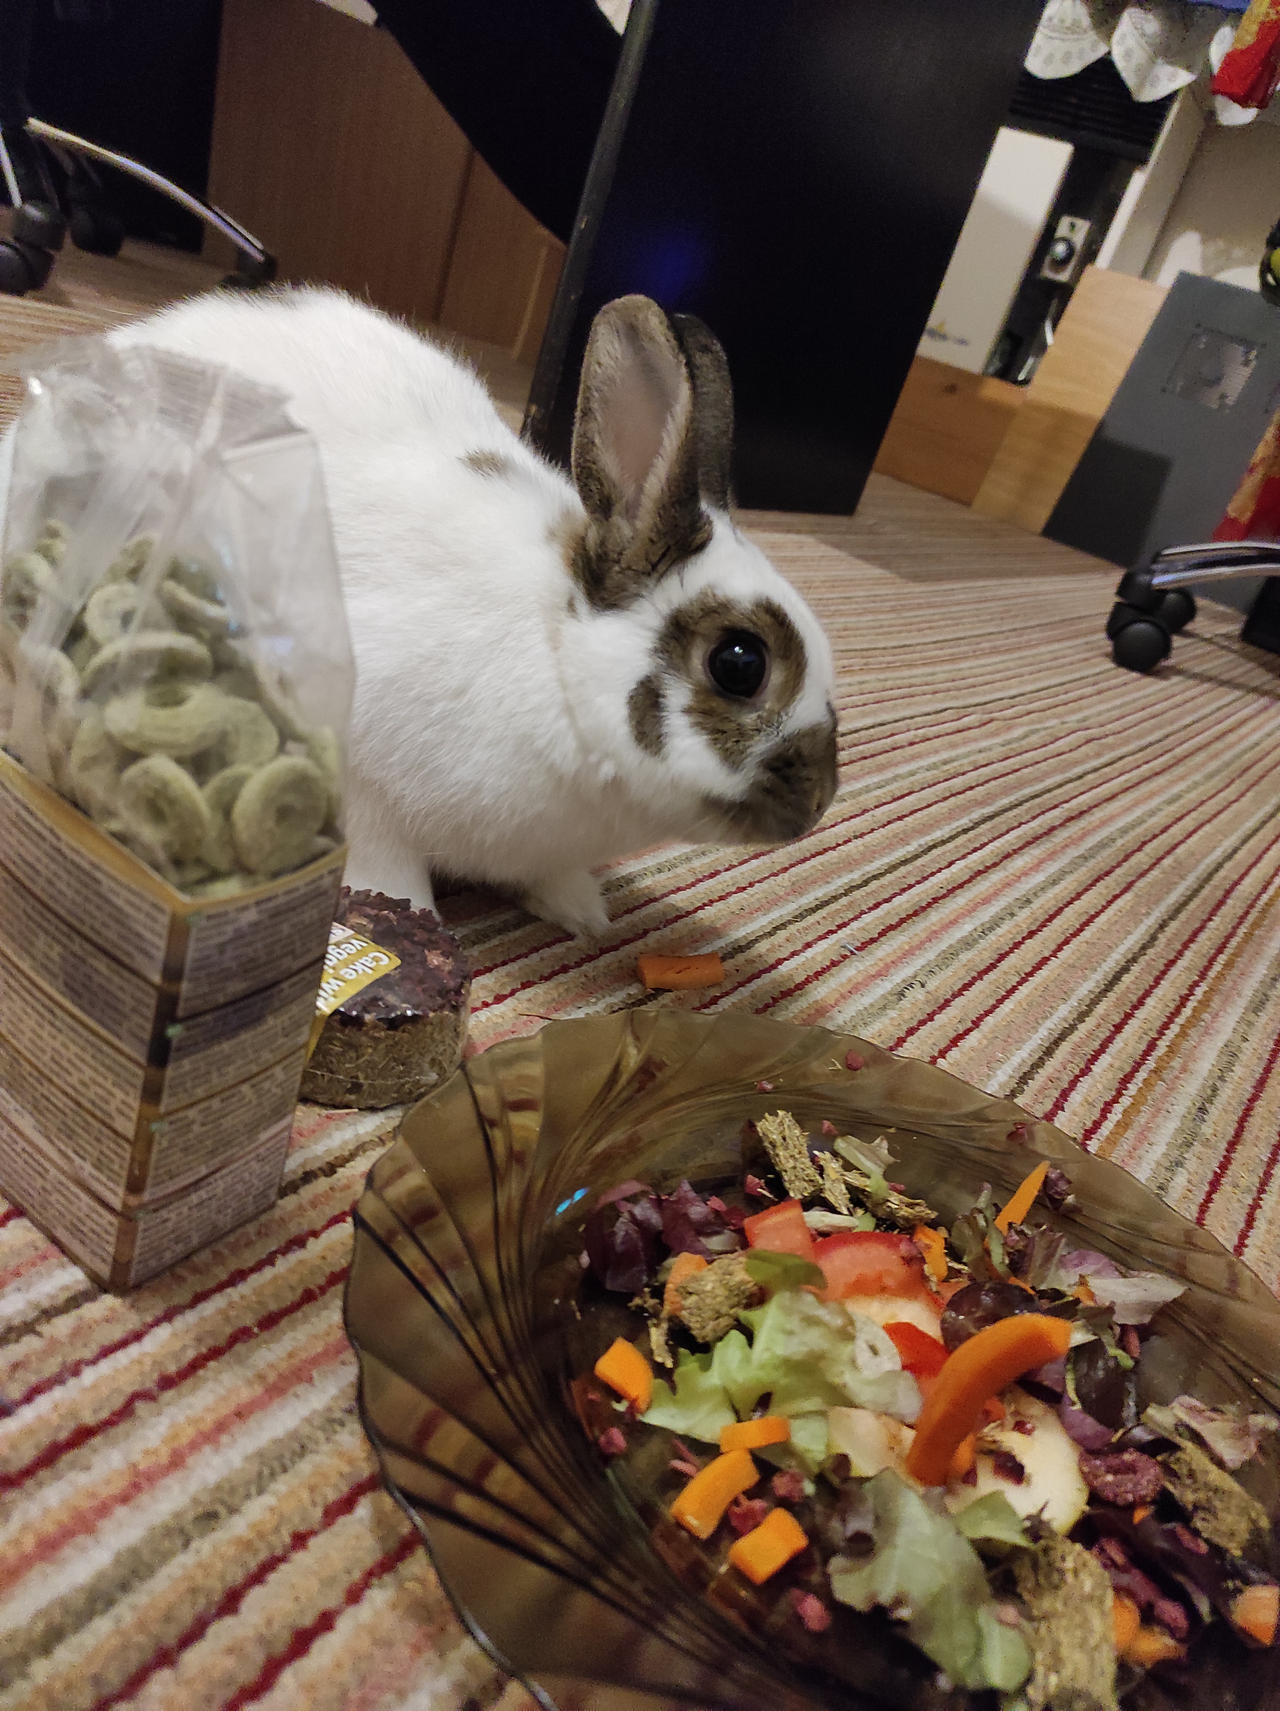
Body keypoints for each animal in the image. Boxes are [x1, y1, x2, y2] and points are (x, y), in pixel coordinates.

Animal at [57, 286, 841, 934]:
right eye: (739, 663)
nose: (820, 801)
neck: (555, 659)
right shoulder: (364, 773)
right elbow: (385, 865)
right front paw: (406, 916)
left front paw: (582, 914)